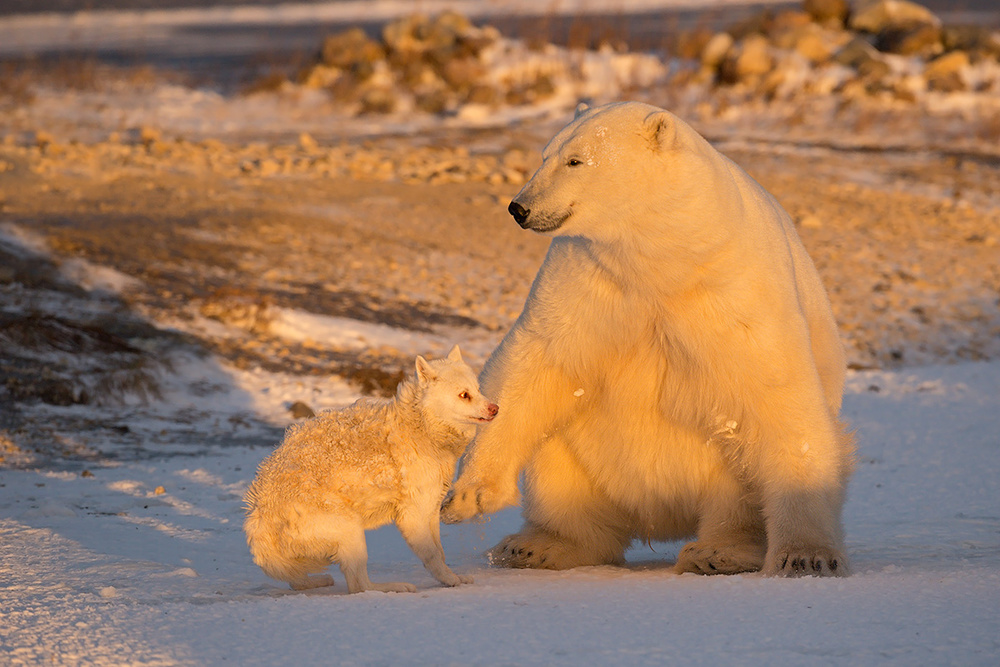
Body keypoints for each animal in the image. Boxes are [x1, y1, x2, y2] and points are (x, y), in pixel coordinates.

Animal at [246, 348, 496, 592]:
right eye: (464, 395)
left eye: (477, 390)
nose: (496, 408)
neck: (422, 427)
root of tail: (260, 521)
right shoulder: (413, 514)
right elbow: (433, 555)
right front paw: (450, 580)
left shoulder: (431, 508)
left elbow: (440, 552)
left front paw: (452, 578)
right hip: (350, 530)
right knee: (360, 586)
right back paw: (395, 587)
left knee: (305, 580)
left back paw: (316, 582)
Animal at [442, 102, 856, 576]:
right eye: (545, 155)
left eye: (575, 160)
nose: (519, 207)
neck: (663, 256)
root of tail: (659, 516)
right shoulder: (588, 277)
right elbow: (535, 361)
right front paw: (466, 496)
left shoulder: (735, 290)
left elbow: (778, 394)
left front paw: (807, 556)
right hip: (586, 461)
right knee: (560, 464)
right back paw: (539, 546)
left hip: (720, 470)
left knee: (739, 483)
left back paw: (719, 552)